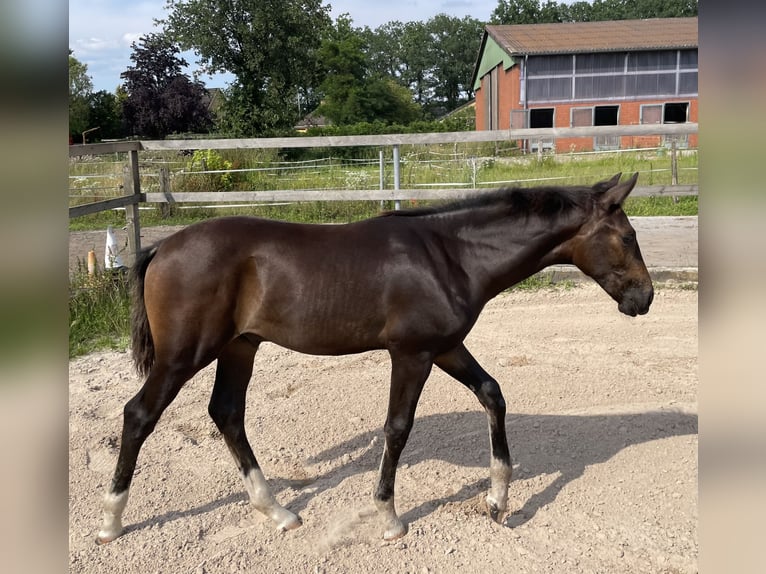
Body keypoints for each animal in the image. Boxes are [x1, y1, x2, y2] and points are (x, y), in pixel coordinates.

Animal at [94, 171, 656, 544]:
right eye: (628, 237)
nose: (644, 298)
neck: (449, 255)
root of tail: (161, 249)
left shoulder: (445, 347)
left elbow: (492, 394)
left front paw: (498, 500)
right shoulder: (412, 355)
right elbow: (398, 428)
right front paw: (389, 519)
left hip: (240, 347)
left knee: (227, 414)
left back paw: (278, 512)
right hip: (183, 356)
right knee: (139, 415)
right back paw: (111, 522)